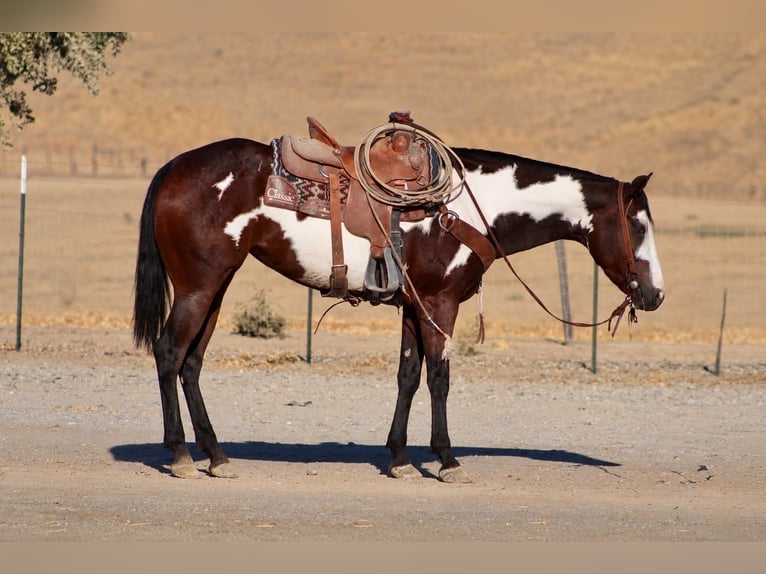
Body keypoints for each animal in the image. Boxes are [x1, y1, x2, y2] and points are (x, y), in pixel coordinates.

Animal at [132, 120, 665, 483]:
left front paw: (401, 459)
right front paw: (447, 460)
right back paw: (180, 456)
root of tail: (172, 168)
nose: (655, 294)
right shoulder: (440, 303)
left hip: (216, 287)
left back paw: (216, 456)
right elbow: (439, 379)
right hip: (198, 286)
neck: (470, 205)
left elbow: (408, 376)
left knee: (192, 363)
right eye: (638, 225)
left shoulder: (414, 305)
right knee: (169, 353)